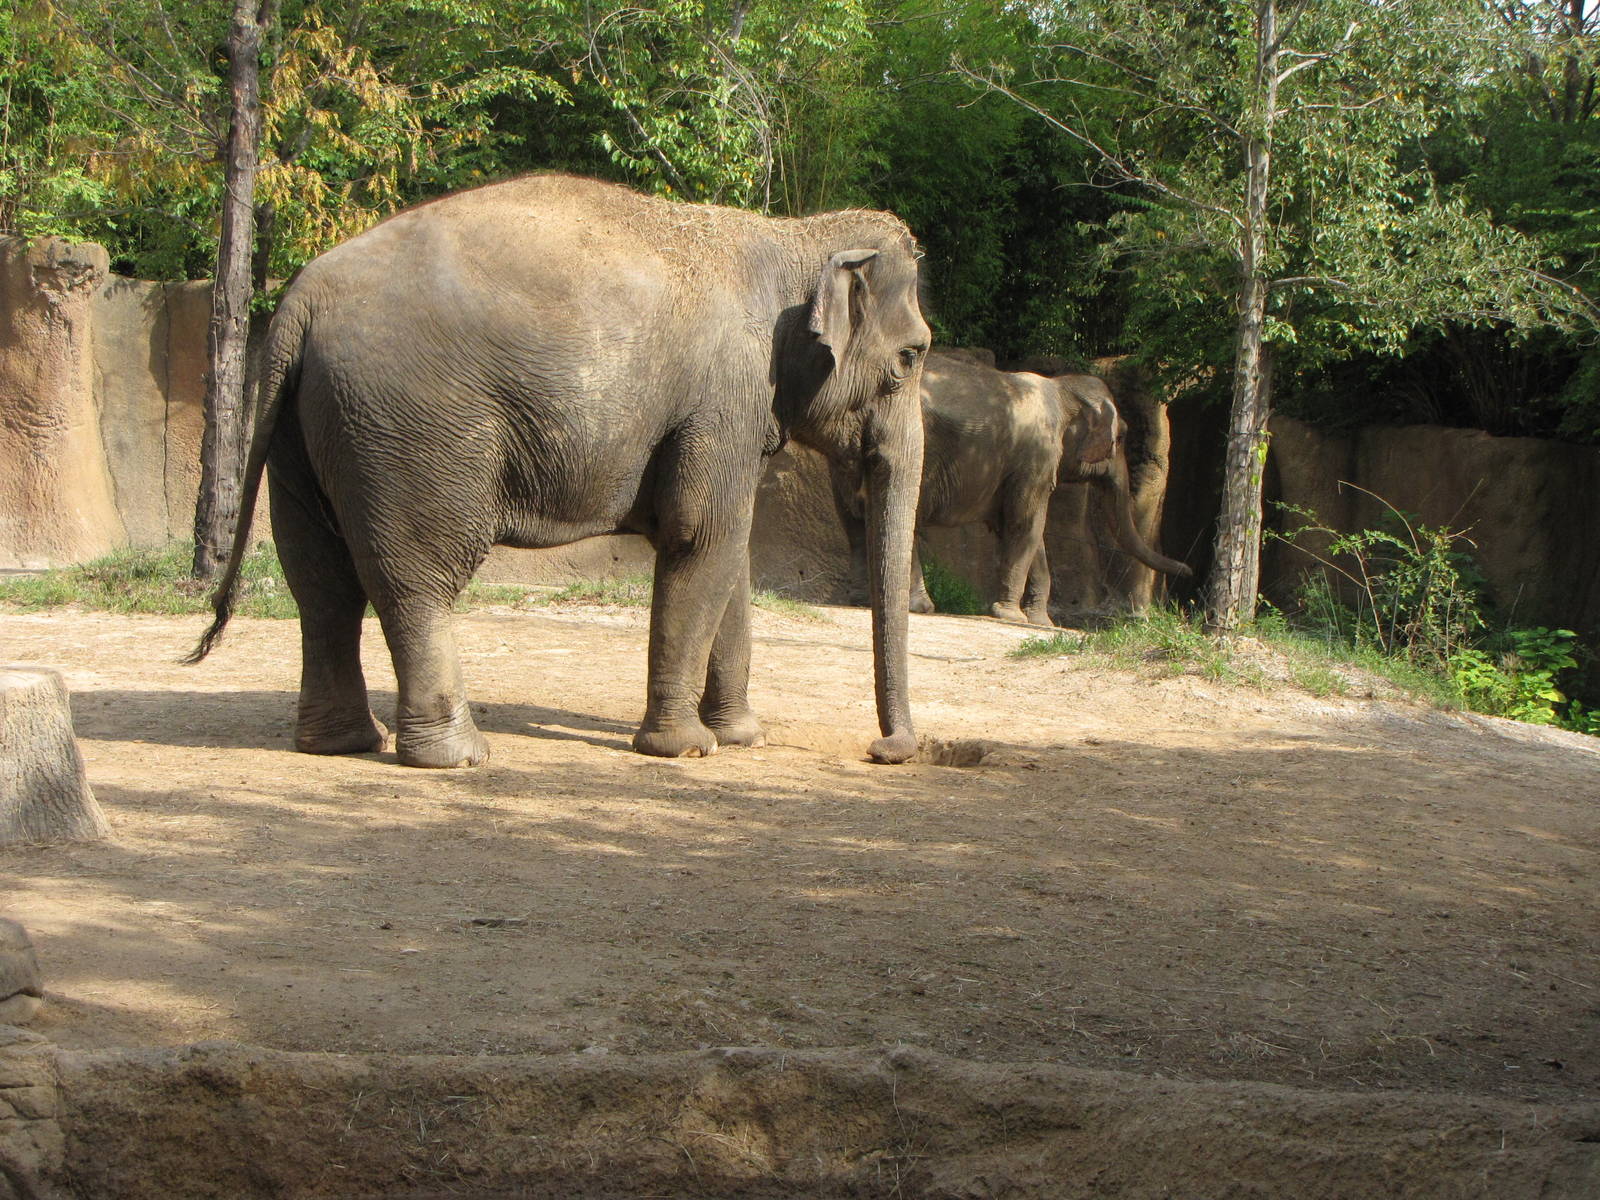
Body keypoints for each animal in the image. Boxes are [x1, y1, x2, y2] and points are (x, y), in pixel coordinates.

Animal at [190, 172, 931, 766]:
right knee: (417, 579)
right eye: (913, 356)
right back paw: (456, 757)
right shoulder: (724, 399)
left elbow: (728, 556)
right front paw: (685, 749)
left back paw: (340, 744)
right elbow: (703, 539)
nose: (885, 749)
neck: (791, 237)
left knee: (320, 581)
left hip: (302, 425)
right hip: (408, 427)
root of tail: (299, 302)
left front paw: (739, 737)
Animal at [831, 351, 1191, 627]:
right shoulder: (1036, 456)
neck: (1061, 389)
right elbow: (1025, 523)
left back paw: (861, 601)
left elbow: (1024, 530)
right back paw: (919, 607)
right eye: (1122, 437)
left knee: (853, 519)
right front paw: (1011, 618)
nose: (1187, 571)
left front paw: (1041, 623)